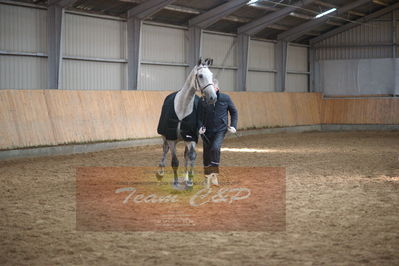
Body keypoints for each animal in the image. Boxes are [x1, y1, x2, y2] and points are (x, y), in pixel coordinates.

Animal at [157, 58, 219, 189]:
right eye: (200, 76)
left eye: (211, 75)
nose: (213, 97)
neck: (183, 107)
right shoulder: (171, 139)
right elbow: (175, 161)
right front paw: (175, 182)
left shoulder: (191, 138)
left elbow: (191, 157)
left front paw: (189, 181)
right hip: (165, 137)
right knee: (165, 150)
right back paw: (160, 172)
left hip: (185, 140)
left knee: (186, 155)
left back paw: (185, 178)